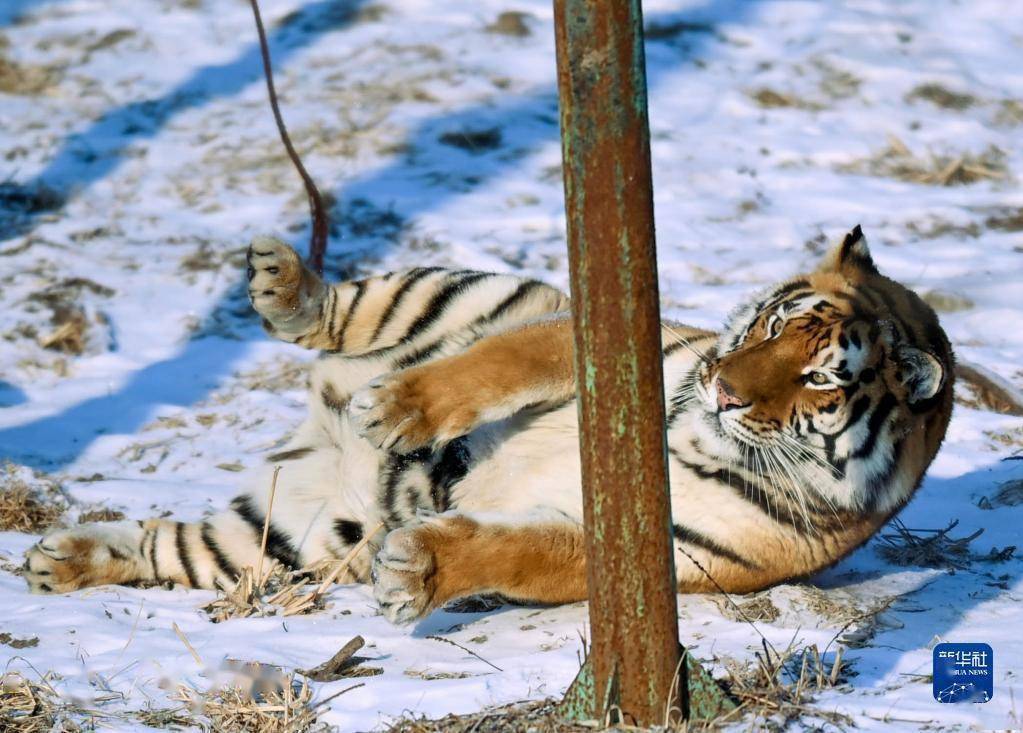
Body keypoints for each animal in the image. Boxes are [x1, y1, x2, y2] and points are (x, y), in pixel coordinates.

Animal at [19, 224, 953, 621]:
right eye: (767, 325)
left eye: (816, 380)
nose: (721, 389)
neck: (694, 434)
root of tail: (317, 433)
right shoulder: (606, 335)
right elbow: (500, 366)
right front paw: (398, 410)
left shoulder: (664, 550)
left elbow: (527, 555)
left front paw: (418, 570)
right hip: (465, 291)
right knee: (341, 312)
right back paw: (287, 285)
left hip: (283, 536)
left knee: (167, 545)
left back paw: (61, 559)